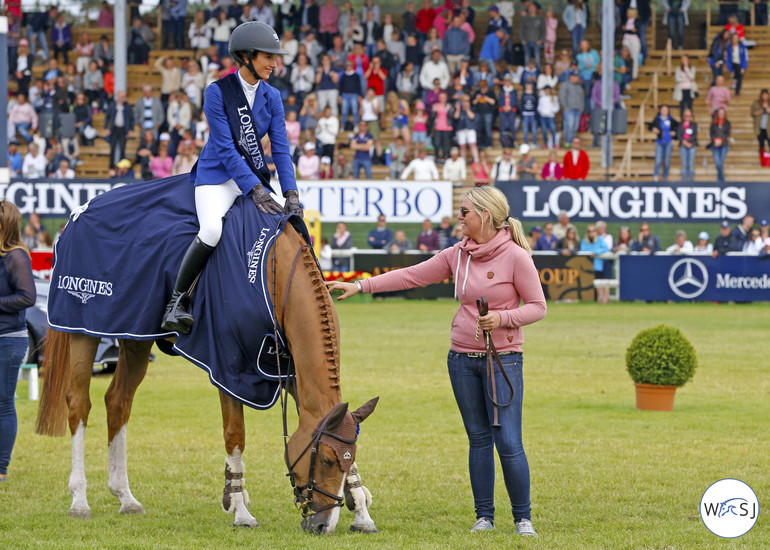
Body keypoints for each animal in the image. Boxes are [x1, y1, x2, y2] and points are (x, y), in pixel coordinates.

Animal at [36, 223, 378, 536]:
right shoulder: (229, 366)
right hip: (84, 330)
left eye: (343, 461)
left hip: (135, 339)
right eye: (327, 460)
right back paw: (79, 500)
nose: (322, 526)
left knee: (118, 402)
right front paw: (240, 510)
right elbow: (235, 435)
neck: (274, 272)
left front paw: (361, 511)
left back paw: (125, 497)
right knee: (79, 405)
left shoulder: (287, 368)